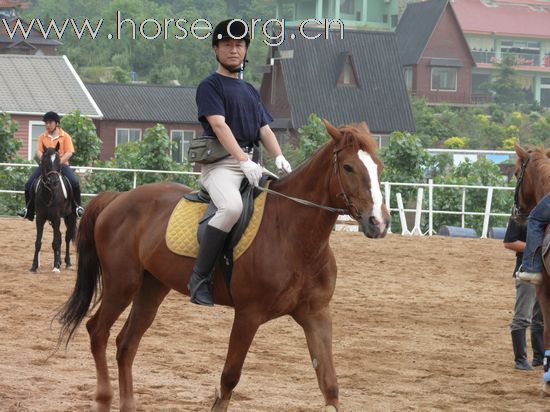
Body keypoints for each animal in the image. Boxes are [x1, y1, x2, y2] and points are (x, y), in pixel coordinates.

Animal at [57, 120, 392, 412]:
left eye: (378, 167)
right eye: (348, 167)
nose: (378, 222)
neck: (292, 233)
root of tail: (117, 198)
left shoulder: (316, 314)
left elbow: (329, 384)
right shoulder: (248, 315)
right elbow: (229, 378)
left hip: (152, 288)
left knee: (126, 343)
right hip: (121, 285)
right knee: (97, 331)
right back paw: (103, 399)